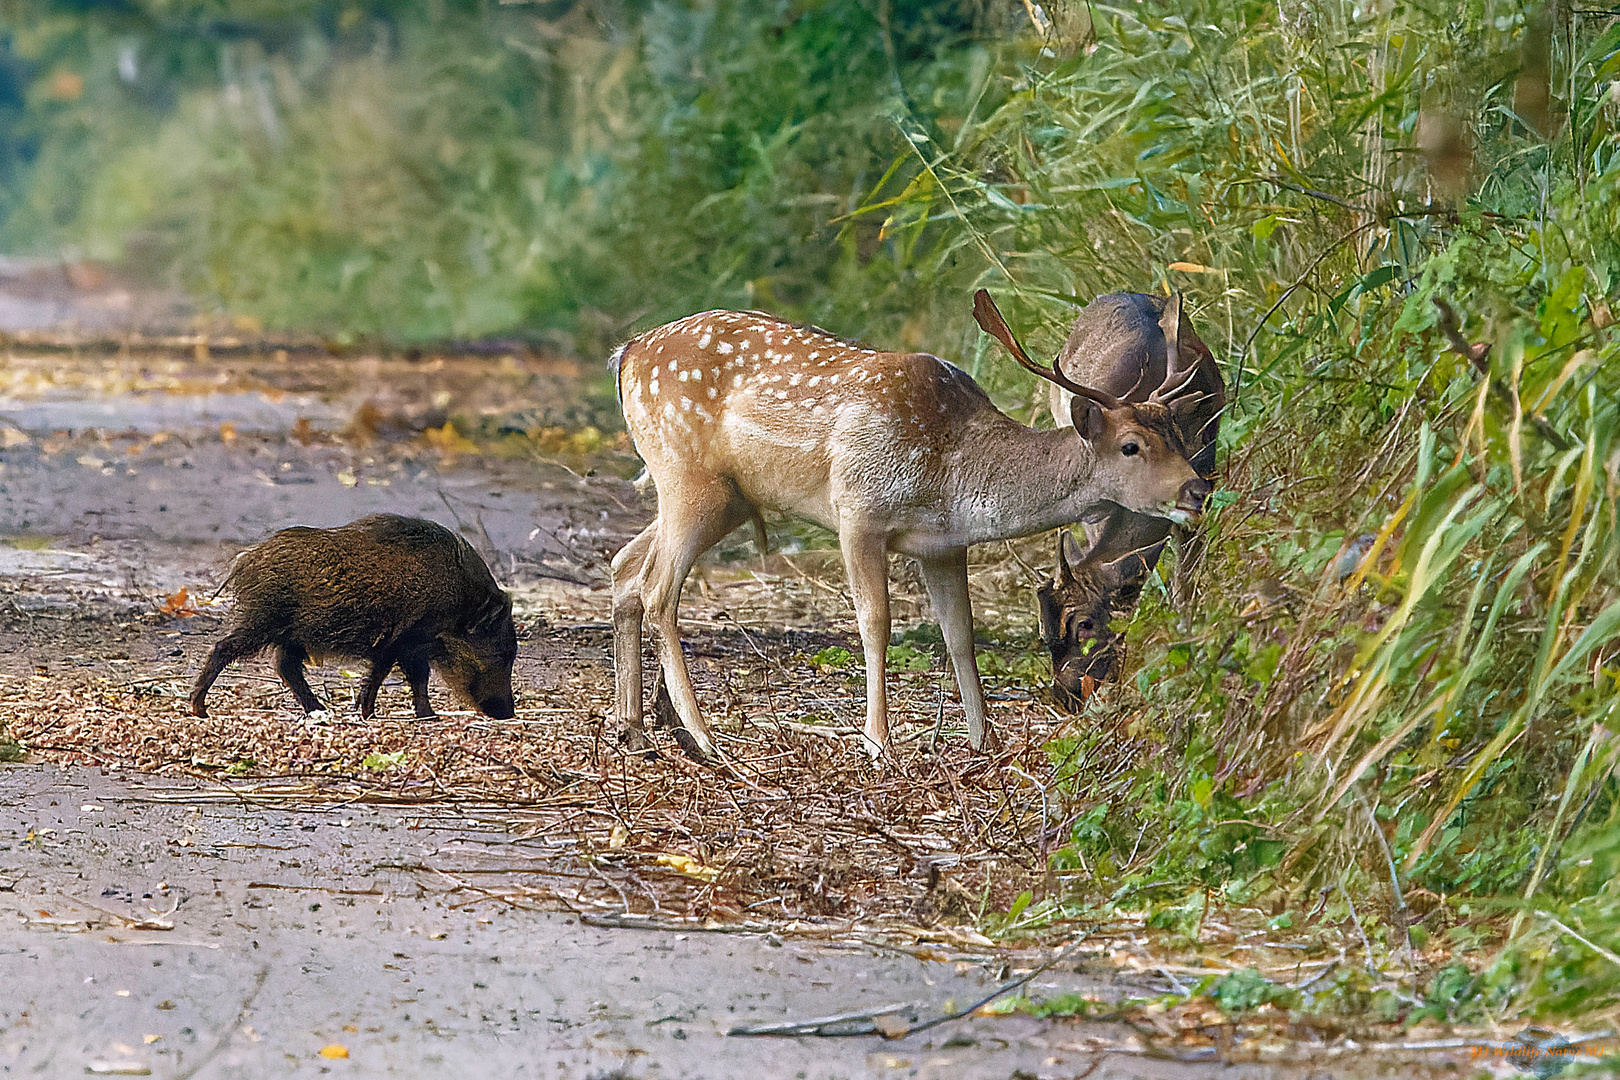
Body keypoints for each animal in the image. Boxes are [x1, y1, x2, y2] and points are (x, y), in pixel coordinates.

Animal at [605, 286, 1205, 761]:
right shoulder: (858, 512)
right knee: (658, 591)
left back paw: (634, 731)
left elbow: (960, 634)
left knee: (625, 567)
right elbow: (875, 624)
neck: (955, 472)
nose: (1197, 489)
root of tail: (627, 352)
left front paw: (984, 740)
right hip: (687, 479)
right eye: (1131, 445)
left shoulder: (942, 544)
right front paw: (878, 742)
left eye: (1177, 432)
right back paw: (703, 739)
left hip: (721, 497)